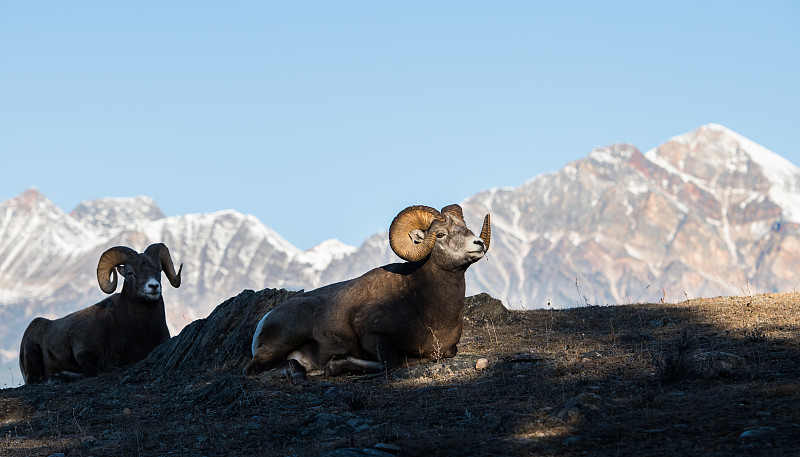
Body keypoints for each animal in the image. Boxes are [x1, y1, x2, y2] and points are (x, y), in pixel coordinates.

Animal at [19, 242, 183, 382]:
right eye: (130, 273)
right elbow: (96, 371)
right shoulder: (82, 352)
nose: (153, 286)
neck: (140, 331)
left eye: (159, 270)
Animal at [247, 203, 490, 378]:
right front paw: (334, 366)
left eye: (466, 228)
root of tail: (265, 320)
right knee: (253, 369)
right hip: (285, 338)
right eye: (440, 234)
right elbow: (393, 363)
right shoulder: (374, 337)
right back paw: (296, 372)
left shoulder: (449, 349)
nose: (478, 243)